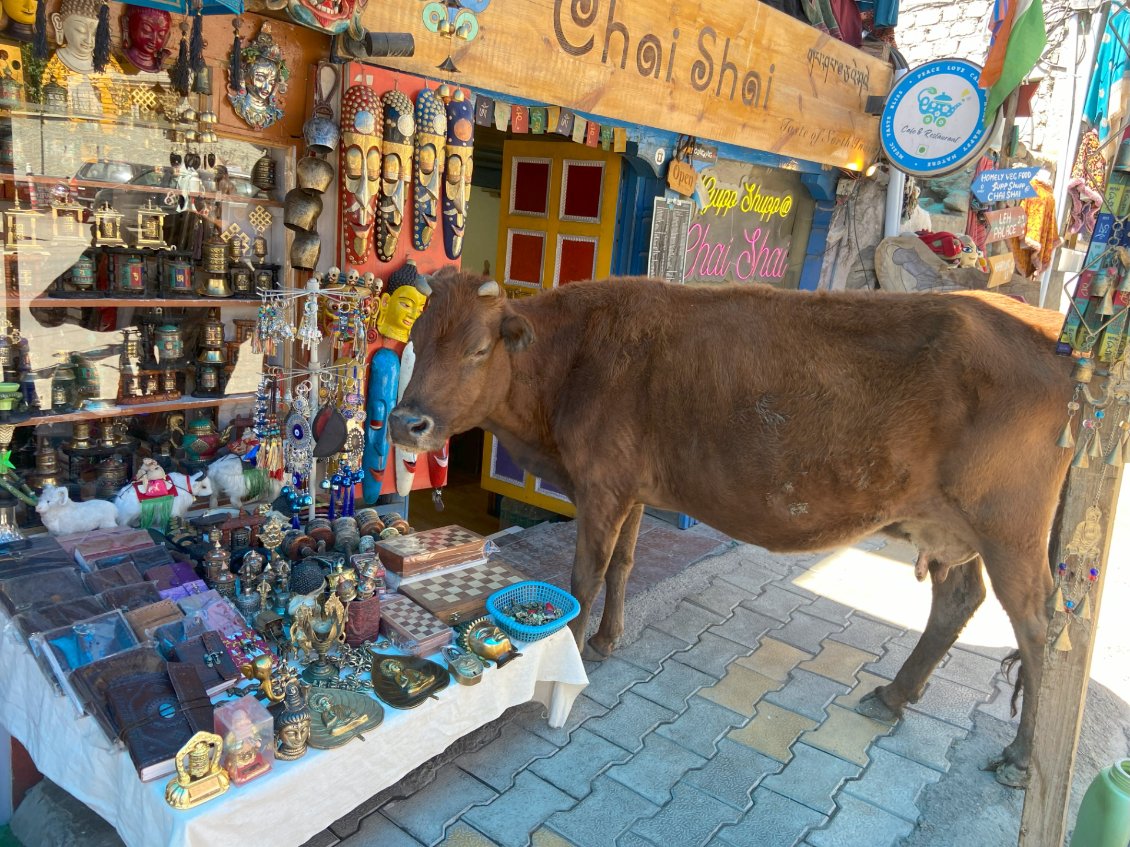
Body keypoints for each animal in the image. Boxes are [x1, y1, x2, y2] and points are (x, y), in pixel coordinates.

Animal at [393, 272, 1071, 790]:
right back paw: (894, 695)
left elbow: (585, 576)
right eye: (418, 339)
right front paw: (610, 639)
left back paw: (1019, 757)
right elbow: (624, 564)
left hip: (1009, 530)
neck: (571, 361)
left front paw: (579, 654)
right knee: (959, 600)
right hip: (951, 525)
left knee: (1039, 626)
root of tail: (1047, 330)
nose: (407, 421)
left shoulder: (601, 486)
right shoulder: (631, 488)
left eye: (478, 349)